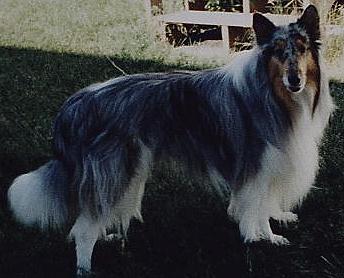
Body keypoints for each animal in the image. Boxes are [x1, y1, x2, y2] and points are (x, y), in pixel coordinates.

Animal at [7, 4, 334, 276]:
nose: (294, 80)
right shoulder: (257, 166)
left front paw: (277, 219)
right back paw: (85, 268)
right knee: (83, 229)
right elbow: (257, 208)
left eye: (302, 48)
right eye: (278, 52)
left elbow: (266, 204)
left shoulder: (271, 164)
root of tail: (73, 106)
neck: (275, 94)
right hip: (115, 171)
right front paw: (266, 238)